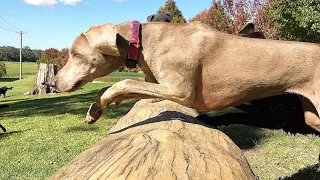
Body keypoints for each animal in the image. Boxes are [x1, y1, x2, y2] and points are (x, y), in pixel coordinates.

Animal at [52, 21, 320, 132]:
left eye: (75, 53)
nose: (52, 83)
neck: (143, 40)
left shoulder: (181, 90)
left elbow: (124, 82)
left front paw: (100, 104)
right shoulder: (157, 84)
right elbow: (119, 88)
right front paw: (94, 111)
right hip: (312, 116)